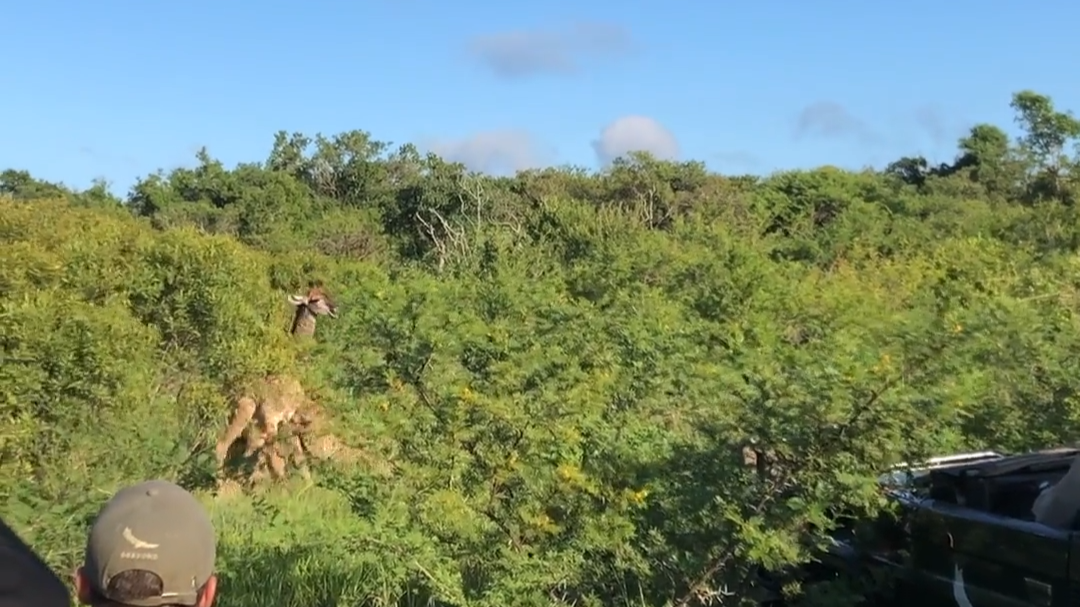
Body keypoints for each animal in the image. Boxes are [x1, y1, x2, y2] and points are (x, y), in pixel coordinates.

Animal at [213, 286, 339, 482]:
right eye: (316, 299)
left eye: (327, 293)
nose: (335, 309)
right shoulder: (280, 417)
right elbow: (291, 451)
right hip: (248, 414)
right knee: (225, 446)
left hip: (241, 419)